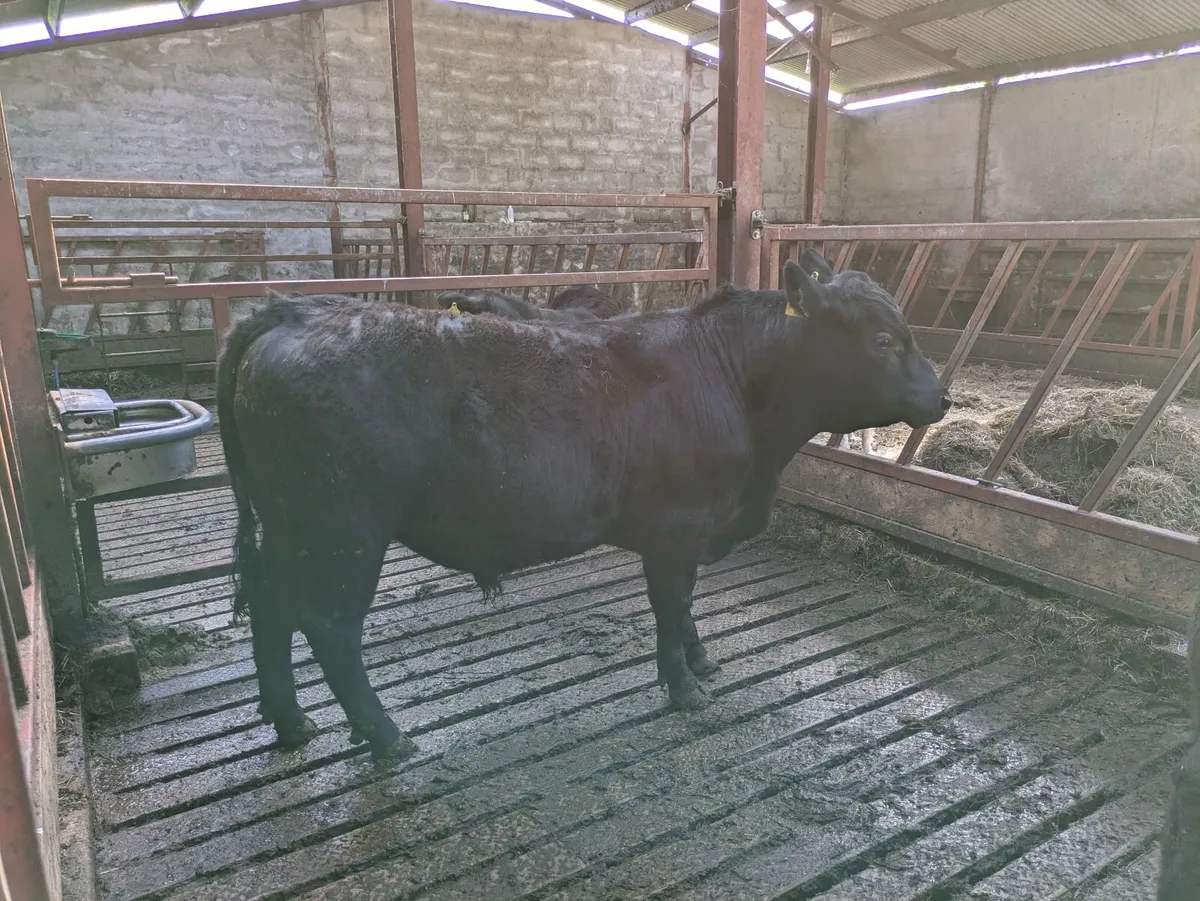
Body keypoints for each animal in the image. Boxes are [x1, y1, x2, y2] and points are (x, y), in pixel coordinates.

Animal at [217, 258, 952, 762]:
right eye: (883, 340)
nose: (943, 397)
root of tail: (292, 311)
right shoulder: (677, 526)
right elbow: (671, 605)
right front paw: (684, 687)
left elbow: (686, 604)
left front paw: (699, 660)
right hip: (342, 530)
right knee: (329, 625)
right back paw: (385, 735)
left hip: (290, 526)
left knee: (271, 608)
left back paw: (291, 722)